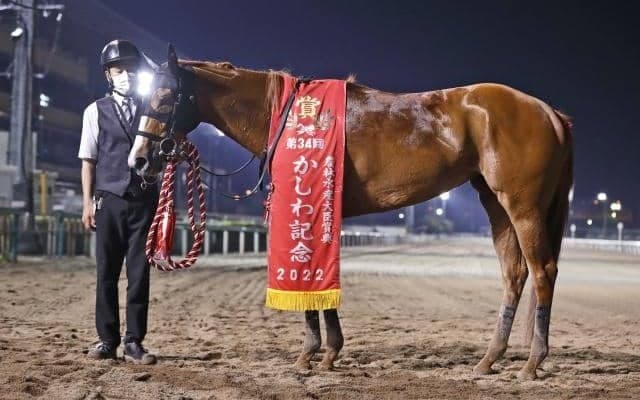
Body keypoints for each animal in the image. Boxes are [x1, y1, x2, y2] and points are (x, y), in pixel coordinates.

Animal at [128, 46, 573, 380]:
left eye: (165, 97)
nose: (140, 160)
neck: (289, 117)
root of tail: (549, 112)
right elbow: (320, 282)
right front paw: (329, 352)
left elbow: (309, 282)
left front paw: (311, 354)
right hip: (496, 204)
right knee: (514, 274)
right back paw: (489, 360)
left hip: (522, 206)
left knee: (543, 272)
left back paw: (532, 363)